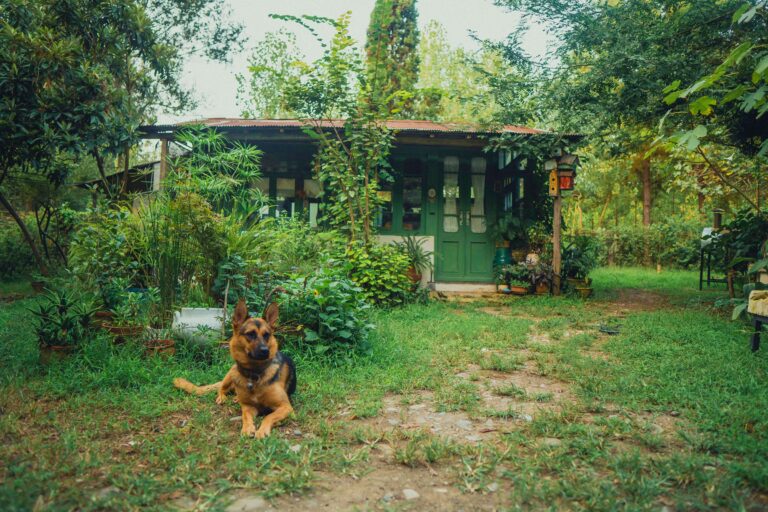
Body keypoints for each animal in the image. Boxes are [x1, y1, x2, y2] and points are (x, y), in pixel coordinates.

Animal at [175, 298, 296, 438]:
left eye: (266, 335)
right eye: (250, 334)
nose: (265, 351)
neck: (254, 374)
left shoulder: (285, 407)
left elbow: (269, 416)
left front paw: (262, 431)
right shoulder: (249, 406)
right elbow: (245, 415)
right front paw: (247, 428)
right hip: (231, 373)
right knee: (221, 388)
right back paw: (223, 397)